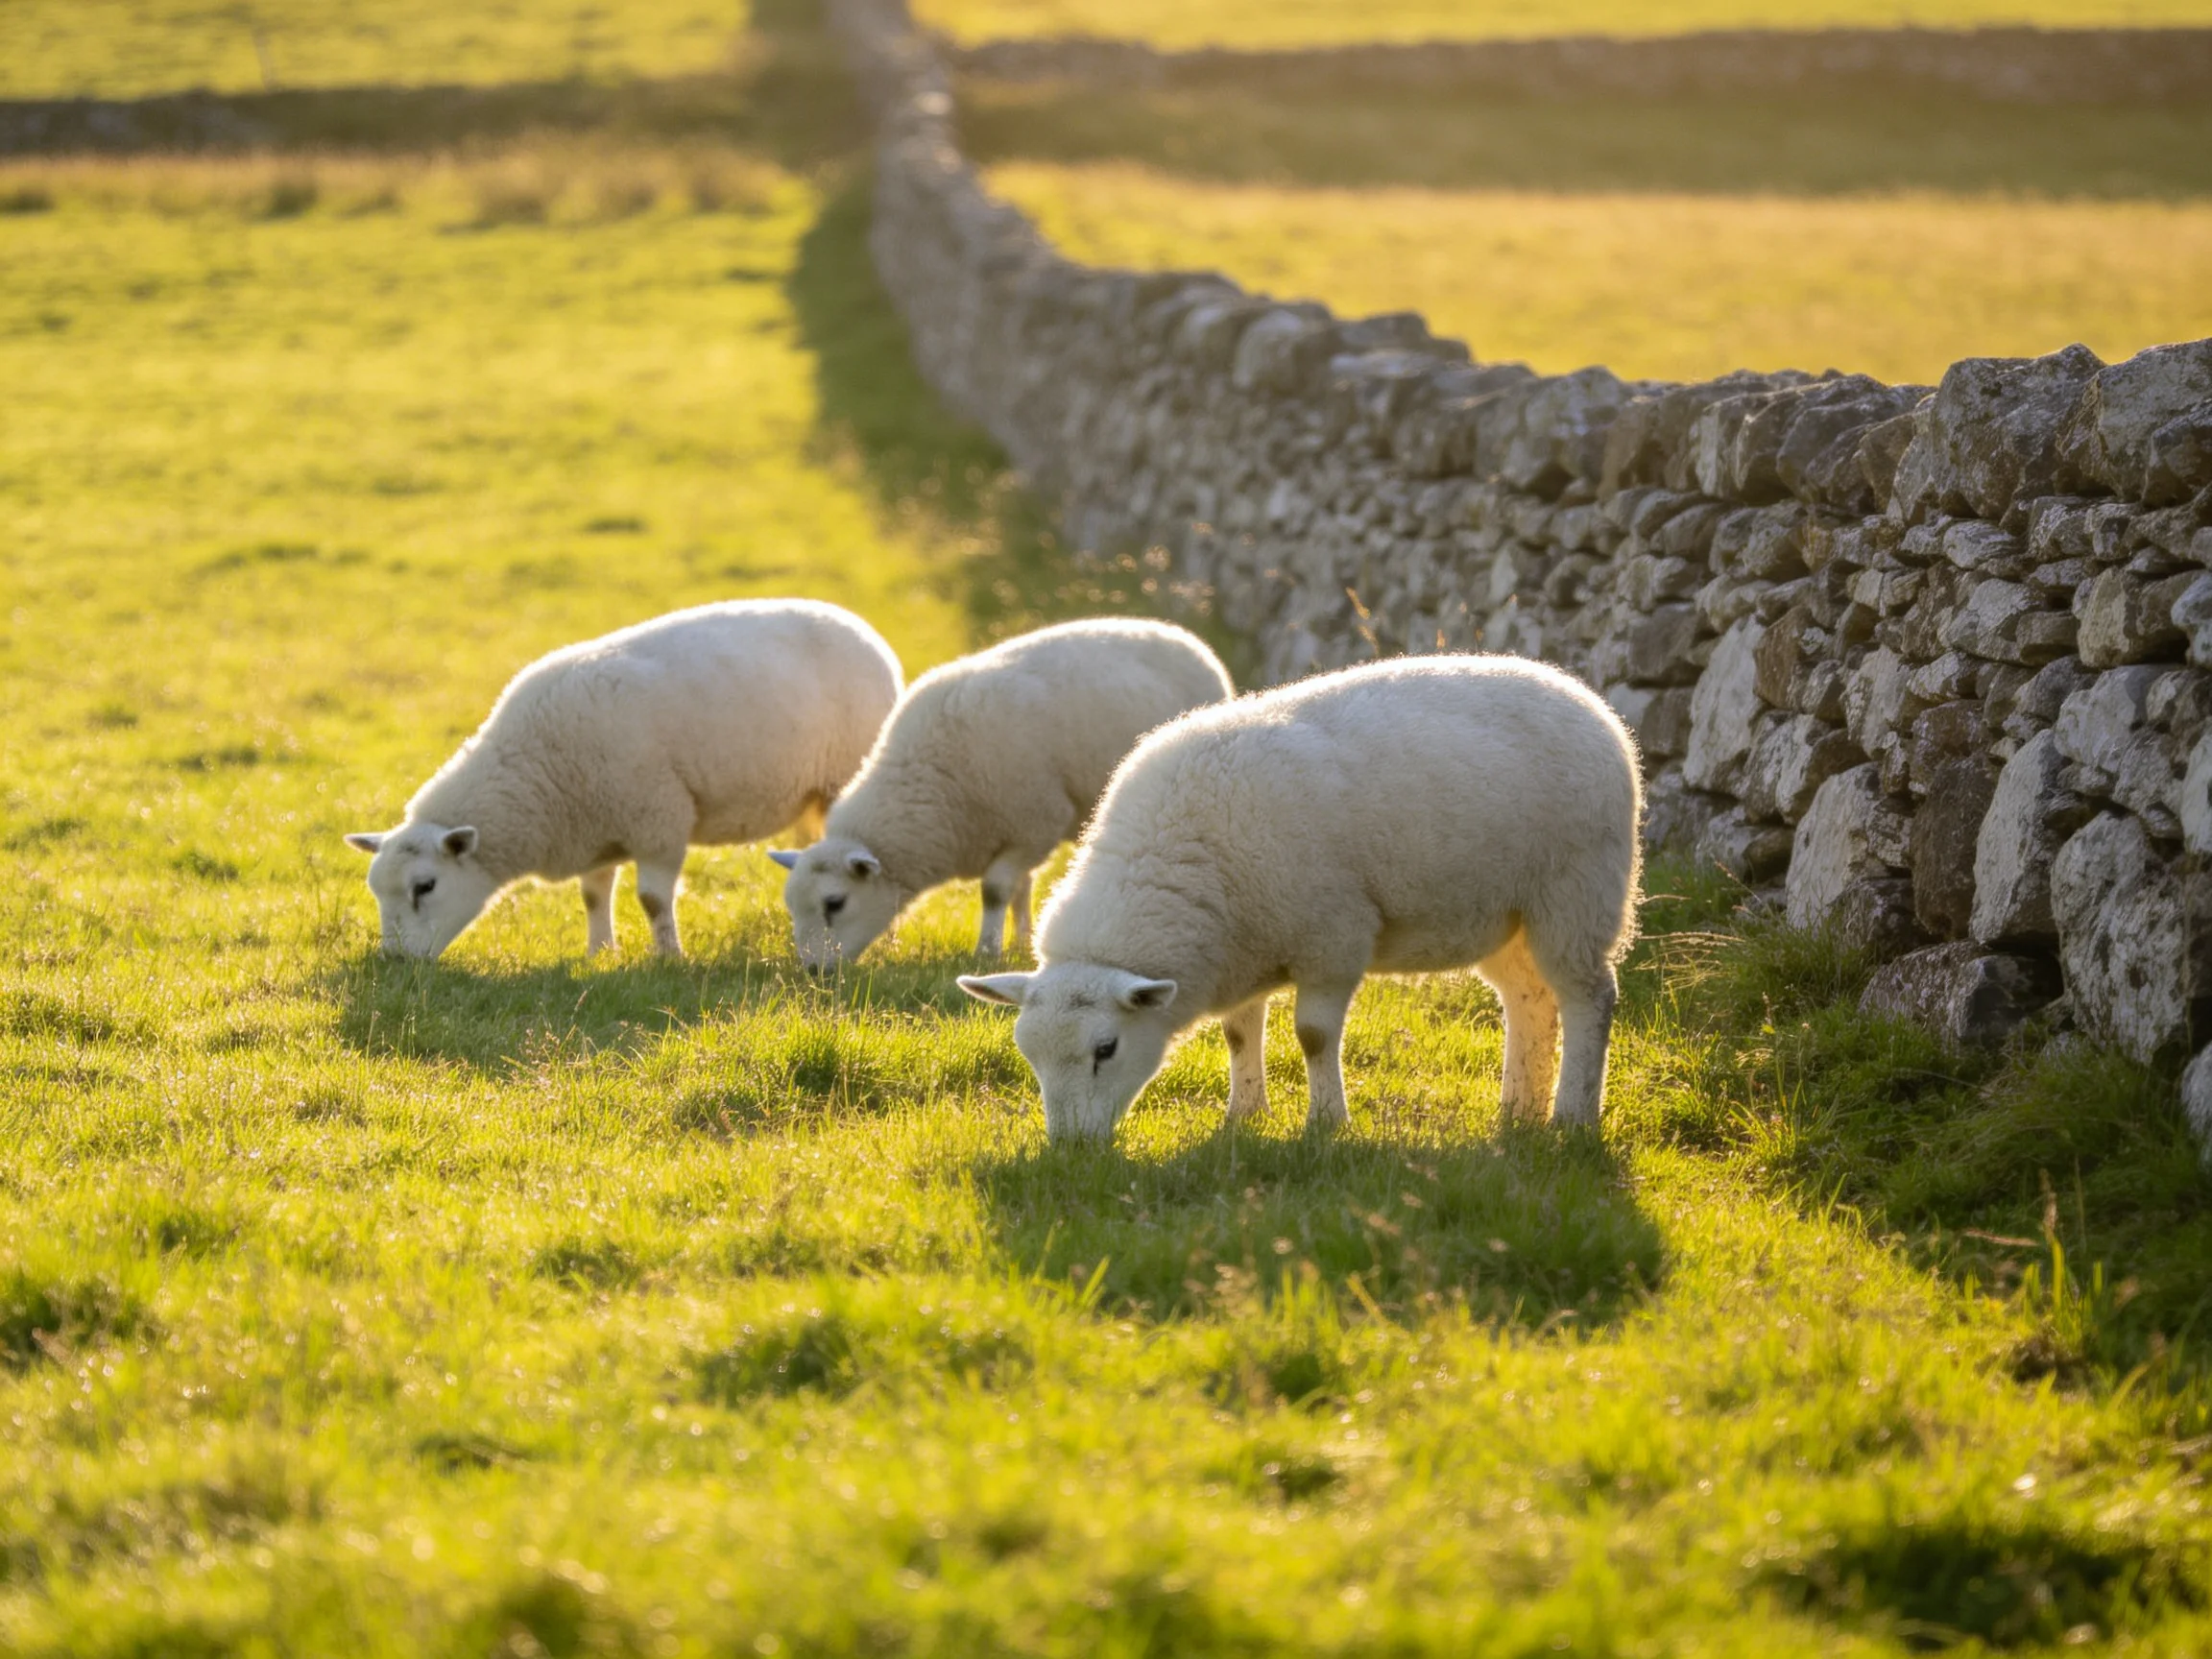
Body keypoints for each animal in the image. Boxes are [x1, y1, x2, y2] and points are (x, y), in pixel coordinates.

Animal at [345, 599, 901, 960]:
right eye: (377, 891)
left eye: (425, 886)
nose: (394, 960)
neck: (536, 774)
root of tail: (863, 628)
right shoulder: (597, 825)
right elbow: (593, 895)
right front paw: (600, 952)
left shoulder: (658, 819)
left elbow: (653, 900)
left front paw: (669, 958)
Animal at [772, 618, 1233, 969]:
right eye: (793, 907)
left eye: (834, 903)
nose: (813, 971)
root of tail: (1186, 638)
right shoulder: (1015, 830)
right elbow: (1021, 889)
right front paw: (1021, 940)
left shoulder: (1037, 822)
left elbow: (995, 890)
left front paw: (987, 951)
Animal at [958, 655, 1642, 1142]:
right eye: (1029, 1056)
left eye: (1106, 1050)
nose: (1070, 1149)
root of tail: (1585, 699)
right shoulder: (1245, 947)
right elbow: (1239, 1034)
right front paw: (1243, 1115)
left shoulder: (1332, 937)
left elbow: (1312, 1036)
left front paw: (1326, 1123)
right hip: (1507, 915)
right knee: (1528, 1000)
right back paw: (1519, 1111)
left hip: (1577, 890)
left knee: (1588, 997)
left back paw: (1572, 1116)